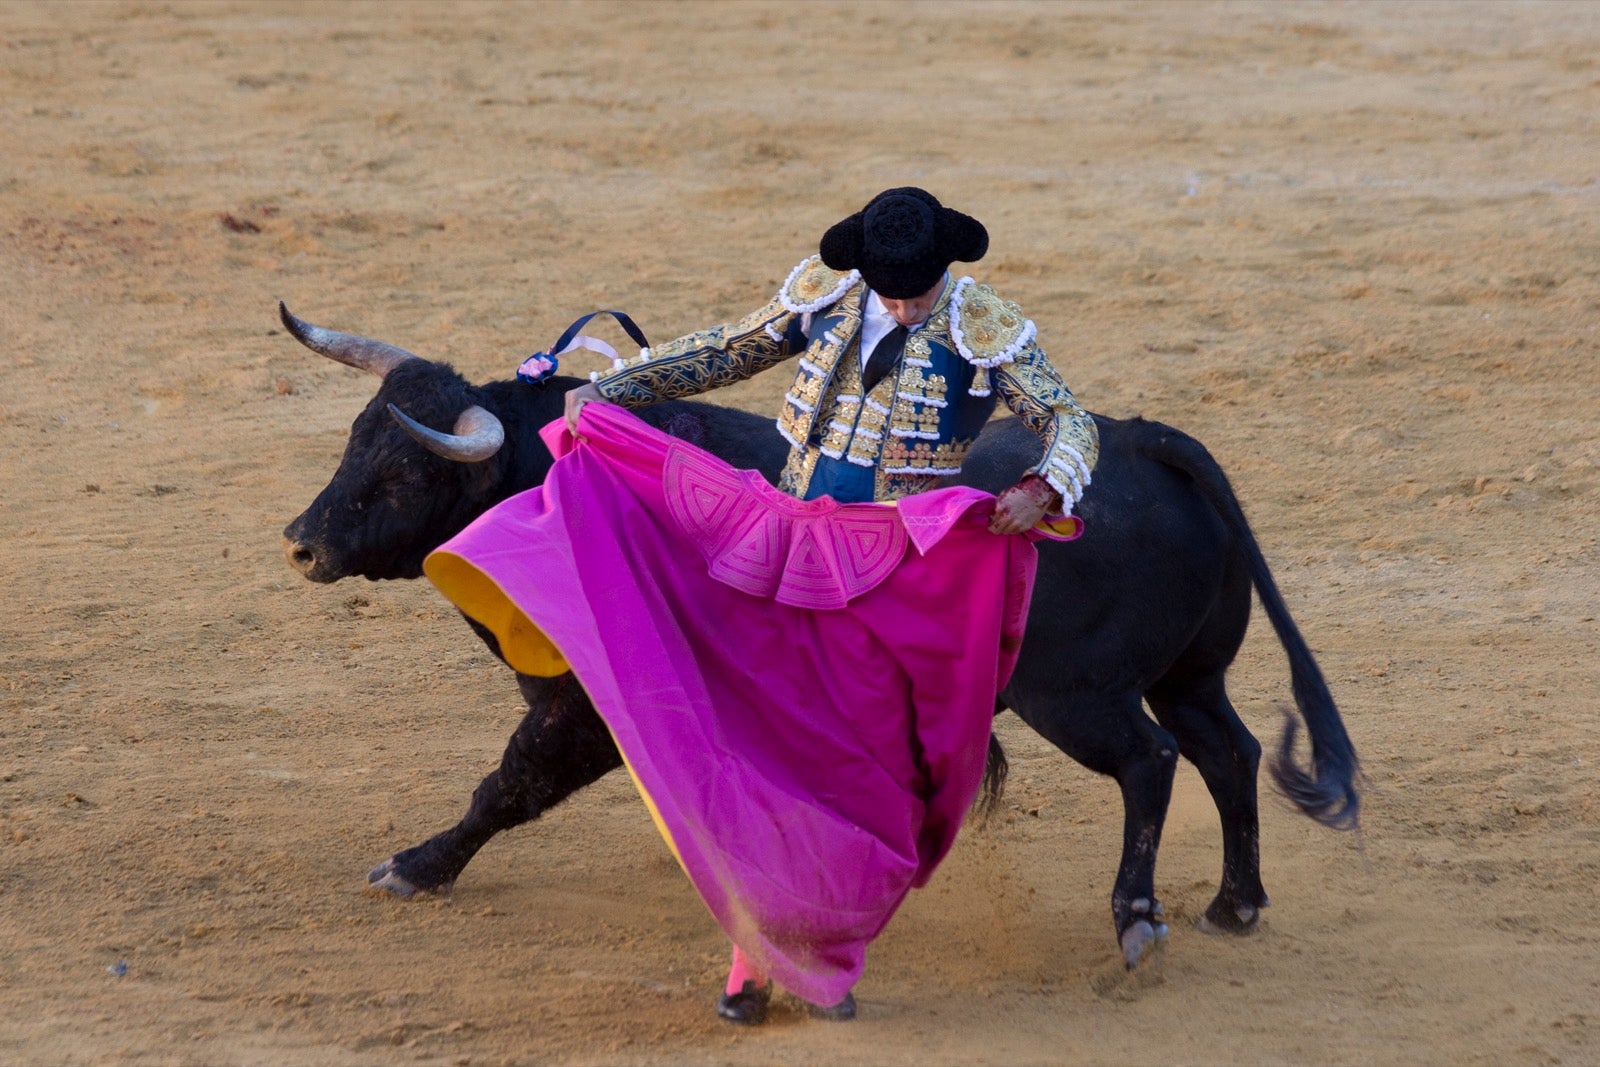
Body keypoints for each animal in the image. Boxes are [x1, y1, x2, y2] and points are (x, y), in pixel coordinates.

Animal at [281, 303, 1356, 972]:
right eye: (353, 441)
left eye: (406, 475)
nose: (301, 542)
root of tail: (1140, 438)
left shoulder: (582, 704)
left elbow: (507, 784)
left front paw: (413, 867)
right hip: (1191, 673)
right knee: (1229, 749)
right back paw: (1234, 904)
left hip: (1077, 695)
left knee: (1152, 760)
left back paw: (1137, 920)